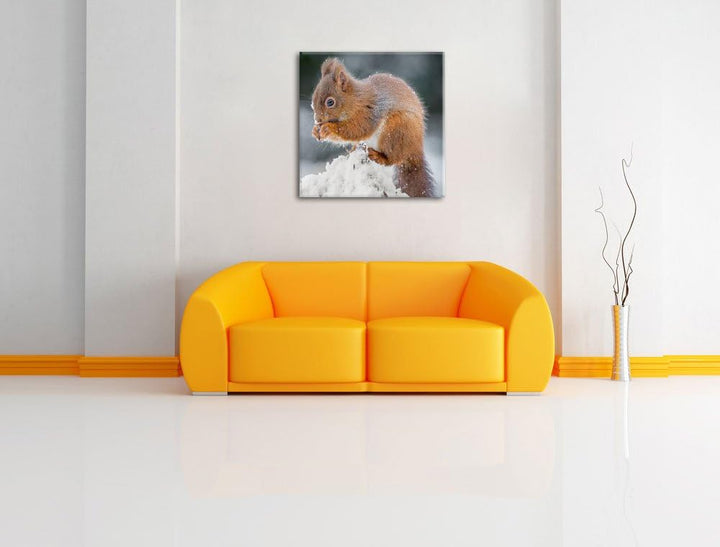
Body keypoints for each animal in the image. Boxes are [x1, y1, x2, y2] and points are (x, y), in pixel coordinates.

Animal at [310, 58, 436, 197]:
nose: (317, 120)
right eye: (312, 101)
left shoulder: (370, 112)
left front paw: (328, 128)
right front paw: (315, 131)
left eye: (330, 102)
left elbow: (358, 129)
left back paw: (378, 156)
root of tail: (416, 148)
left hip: (395, 131)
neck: (355, 99)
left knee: (393, 159)